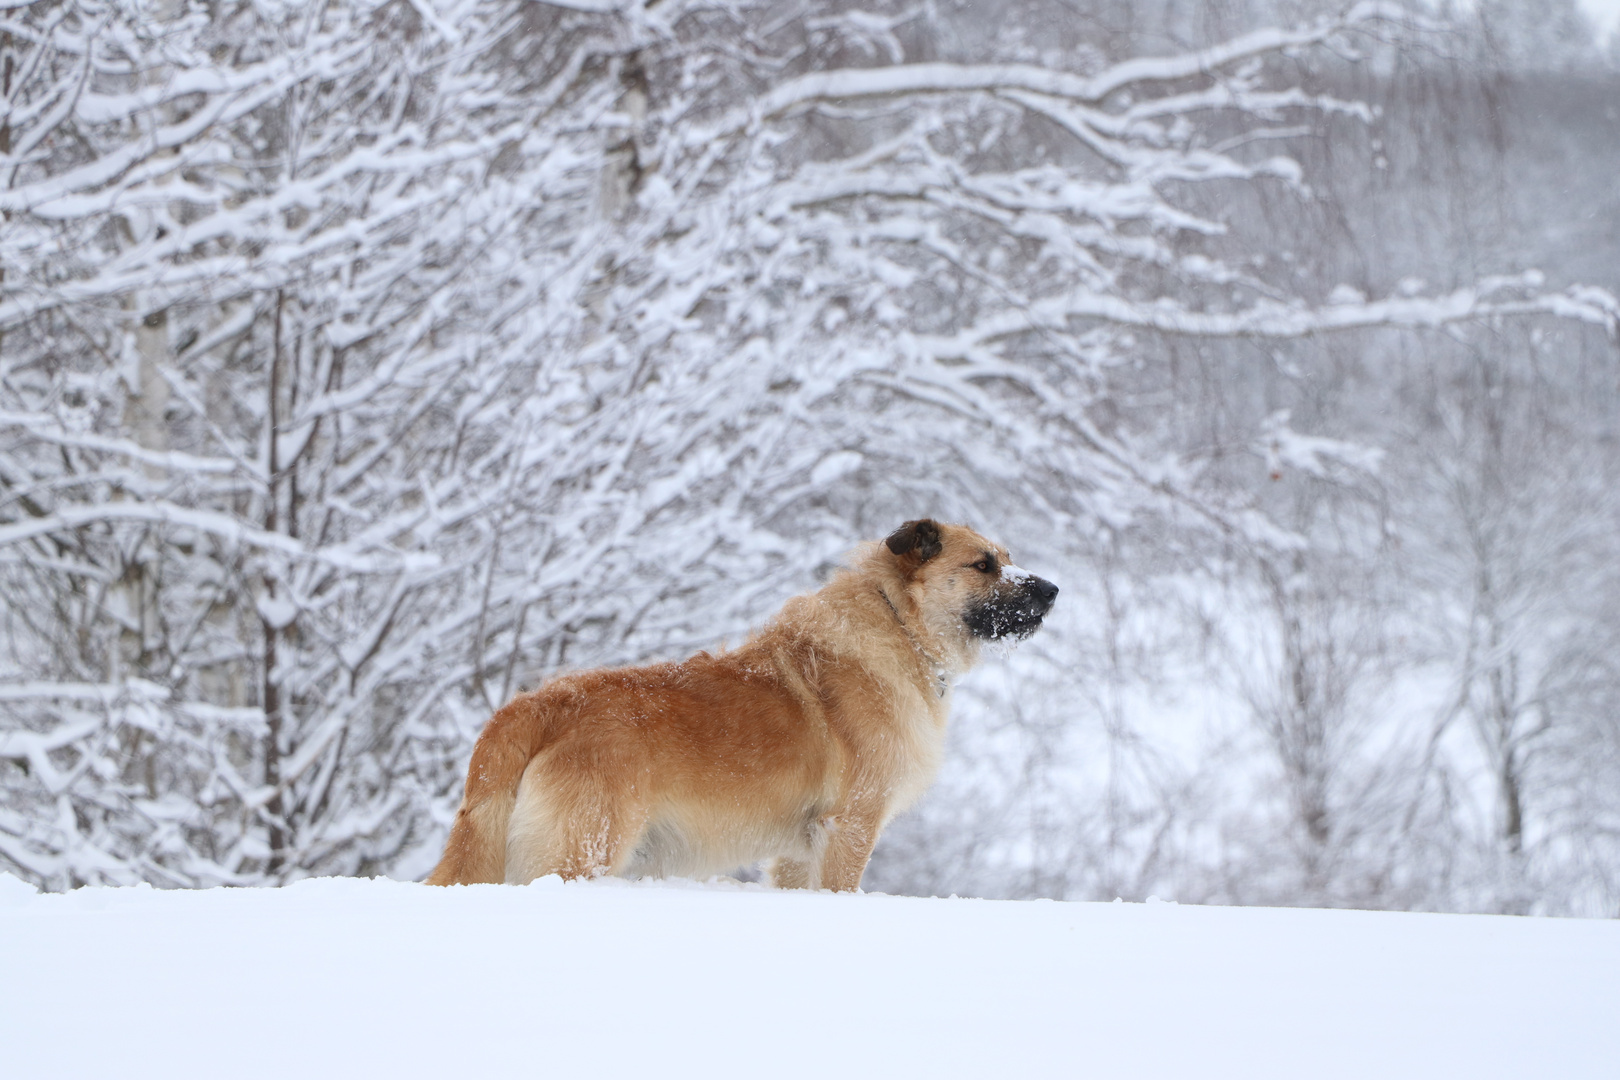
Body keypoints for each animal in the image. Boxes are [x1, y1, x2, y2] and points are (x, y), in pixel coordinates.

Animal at [427, 518, 1062, 893]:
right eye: (983, 564)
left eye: (1007, 557)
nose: (1053, 589)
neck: (896, 624)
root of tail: (540, 705)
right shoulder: (851, 827)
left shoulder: (796, 856)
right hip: (579, 854)